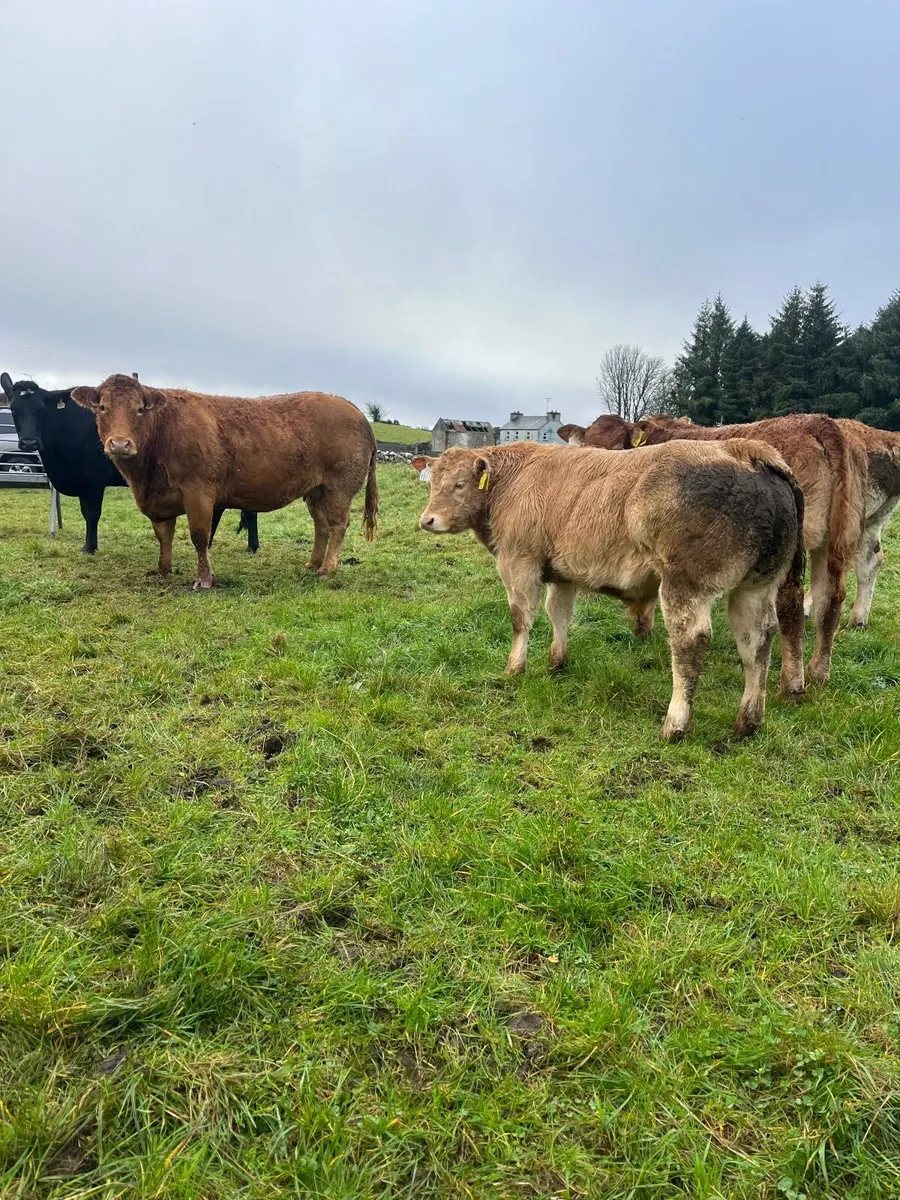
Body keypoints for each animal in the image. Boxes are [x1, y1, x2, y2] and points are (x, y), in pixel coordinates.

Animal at [1, 373, 260, 555]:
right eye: (14, 409)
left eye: (41, 410)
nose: (29, 441)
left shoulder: (93, 481)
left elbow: (91, 514)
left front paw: (89, 548)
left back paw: (251, 546)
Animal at [71, 374, 378, 588]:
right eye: (101, 407)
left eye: (139, 409)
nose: (120, 443)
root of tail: (352, 409)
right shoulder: (160, 500)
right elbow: (163, 535)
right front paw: (163, 569)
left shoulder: (198, 492)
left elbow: (199, 536)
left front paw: (204, 579)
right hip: (315, 491)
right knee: (321, 526)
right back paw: (312, 564)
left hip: (340, 487)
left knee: (338, 524)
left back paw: (327, 569)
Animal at [413, 441, 804, 741]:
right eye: (431, 483)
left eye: (460, 484)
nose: (427, 520)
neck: (513, 480)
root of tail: (743, 449)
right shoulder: (562, 572)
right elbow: (559, 614)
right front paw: (557, 661)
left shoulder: (519, 561)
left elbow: (521, 618)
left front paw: (515, 667)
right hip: (755, 587)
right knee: (756, 643)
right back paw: (748, 722)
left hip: (684, 585)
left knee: (690, 643)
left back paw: (674, 725)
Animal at [559, 412, 867, 694]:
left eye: (615, 447)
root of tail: (819, 421)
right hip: (834, 539)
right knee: (830, 598)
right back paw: (818, 672)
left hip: (791, 548)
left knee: (791, 603)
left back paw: (791, 683)